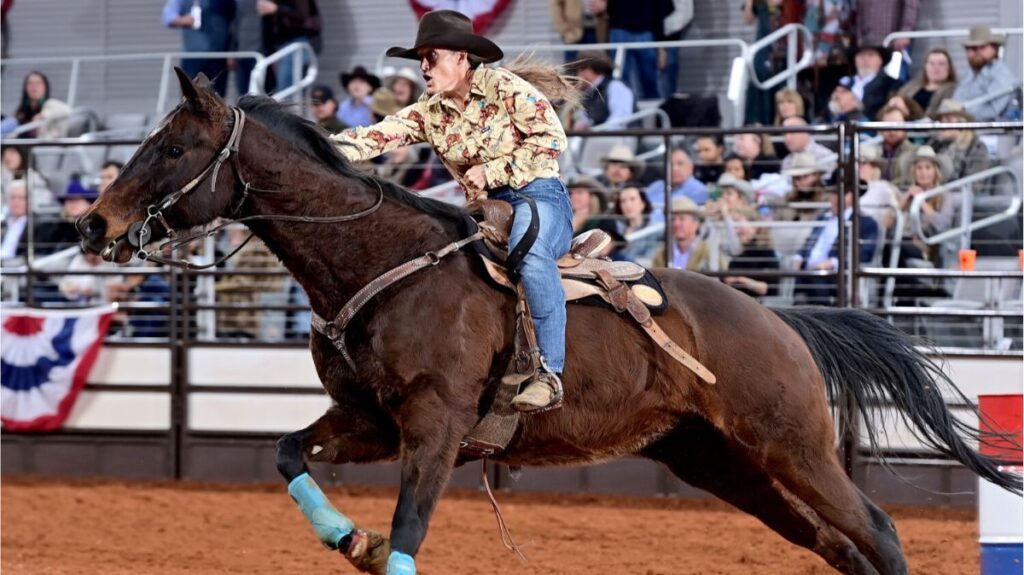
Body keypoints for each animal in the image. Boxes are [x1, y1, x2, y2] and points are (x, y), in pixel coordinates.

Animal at [74, 68, 1024, 572]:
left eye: (172, 147)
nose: (92, 224)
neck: (380, 263)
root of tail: (782, 321)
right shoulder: (371, 420)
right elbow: (285, 453)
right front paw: (349, 536)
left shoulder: (438, 426)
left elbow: (412, 528)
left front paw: (378, 542)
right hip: (718, 459)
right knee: (836, 543)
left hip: (791, 443)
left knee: (877, 529)